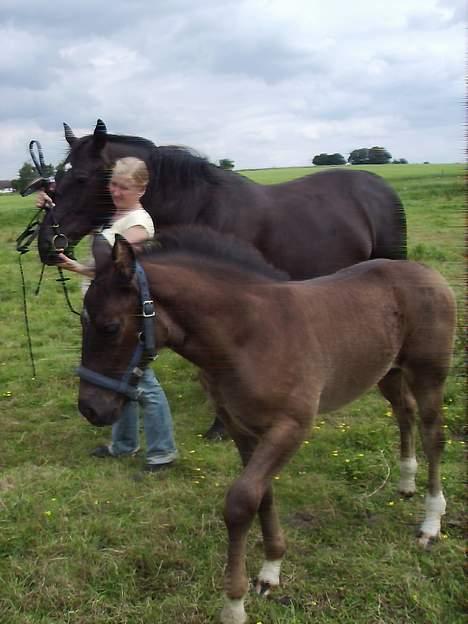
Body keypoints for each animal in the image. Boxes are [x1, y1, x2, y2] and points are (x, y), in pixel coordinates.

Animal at [38, 118, 408, 438]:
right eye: (56, 178)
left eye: (81, 177)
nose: (46, 243)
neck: (200, 205)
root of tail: (380, 186)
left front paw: (219, 428)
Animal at [77, 228, 458, 624]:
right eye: (81, 320)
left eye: (110, 326)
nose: (90, 408)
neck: (249, 335)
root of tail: (424, 270)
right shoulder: (243, 429)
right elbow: (263, 494)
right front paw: (270, 571)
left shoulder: (291, 427)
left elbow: (241, 501)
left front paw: (234, 604)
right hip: (387, 372)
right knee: (404, 413)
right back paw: (406, 482)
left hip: (429, 374)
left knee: (433, 435)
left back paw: (431, 523)